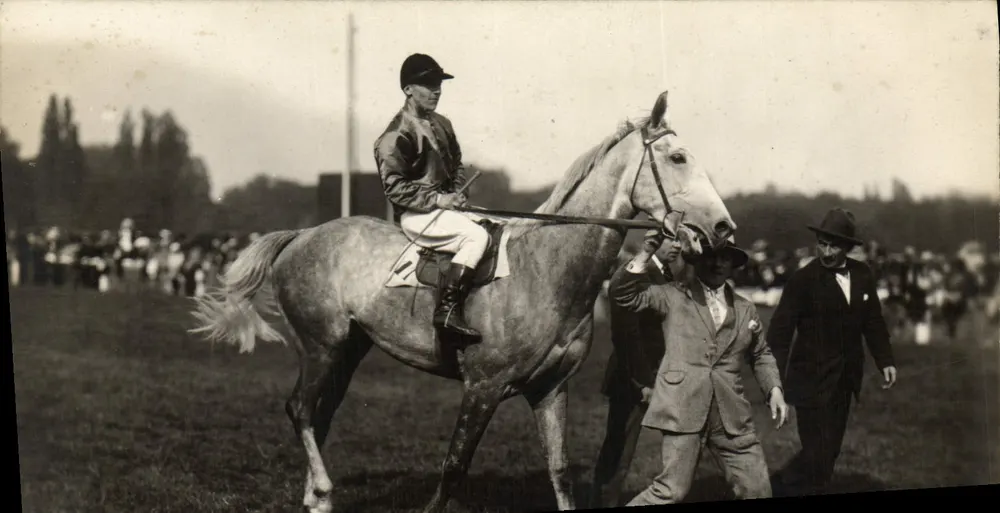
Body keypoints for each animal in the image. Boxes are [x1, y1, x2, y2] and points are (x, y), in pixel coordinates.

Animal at [189, 90, 737, 513]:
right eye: (678, 158)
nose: (724, 228)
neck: (547, 268)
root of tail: (303, 235)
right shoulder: (483, 386)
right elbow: (454, 468)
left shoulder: (551, 388)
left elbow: (559, 470)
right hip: (320, 345)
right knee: (300, 409)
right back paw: (322, 490)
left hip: (348, 350)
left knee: (319, 415)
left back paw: (316, 499)